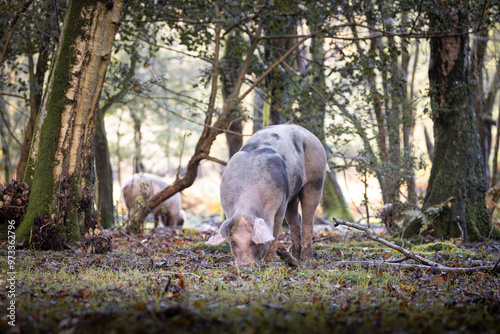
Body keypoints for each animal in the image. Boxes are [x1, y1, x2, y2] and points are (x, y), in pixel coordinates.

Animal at [205, 124, 326, 264]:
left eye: (254, 242)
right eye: (233, 242)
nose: (244, 265)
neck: (246, 203)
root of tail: (309, 133)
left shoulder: (281, 202)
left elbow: (274, 231)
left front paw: (269, 262)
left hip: (316, 178)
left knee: (308, 219)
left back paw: (307, 260)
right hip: (292, 194)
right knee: (295, 220)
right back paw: (295, 257)